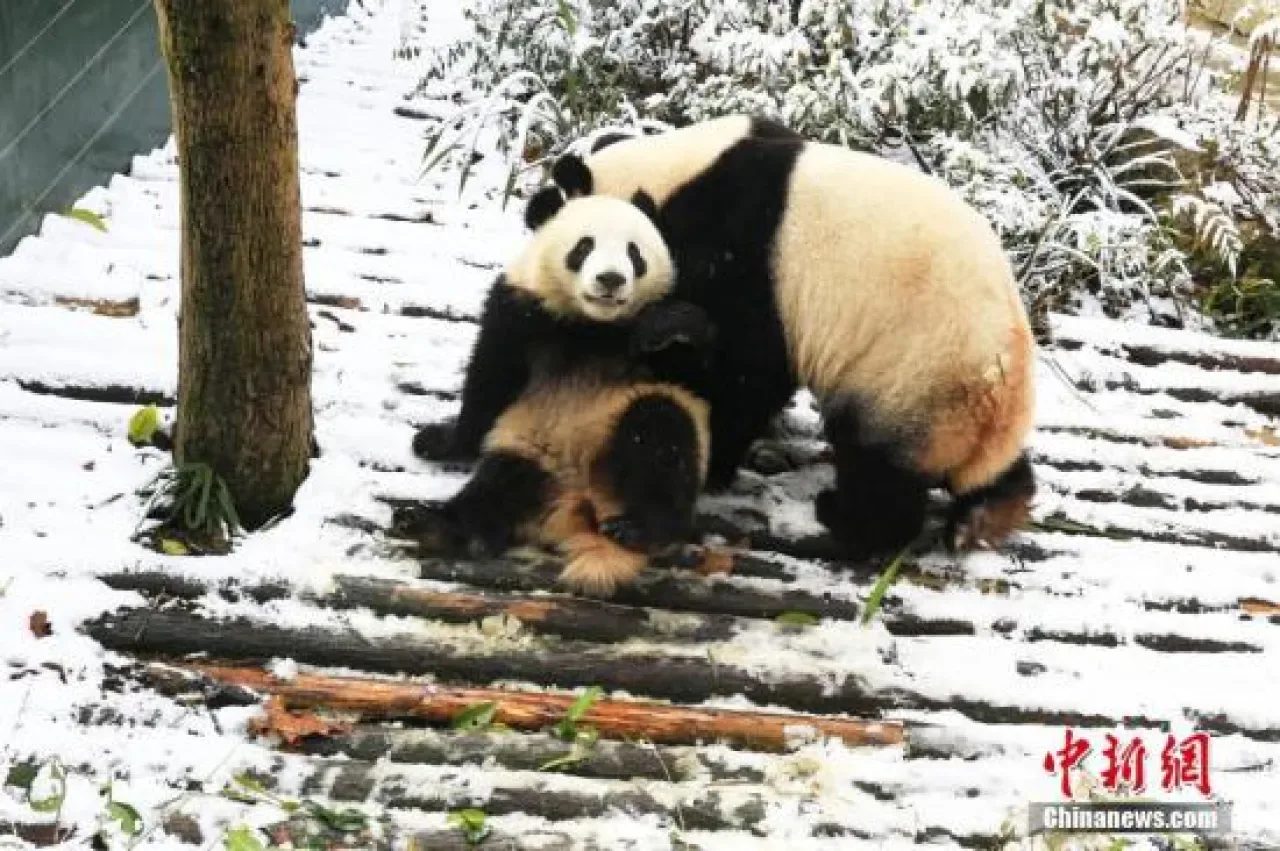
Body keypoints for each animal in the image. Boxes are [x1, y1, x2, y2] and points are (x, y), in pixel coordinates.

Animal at [410, 191, 727, 596]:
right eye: (584, 246)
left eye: (634, 253)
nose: (611, 279)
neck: (592, 326)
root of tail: (580, 498)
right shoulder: (519, 310)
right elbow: (489, 381)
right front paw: (440, 440)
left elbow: (701, 377)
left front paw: (669, 325)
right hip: (531, 449)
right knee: (498, 486)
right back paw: (435, 526)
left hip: (628, 427)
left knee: (659, 432)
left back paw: (639, 529)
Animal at [540, 114, 1038, 557]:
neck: (669, 175)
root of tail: (1000, 387)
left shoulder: (742, 245)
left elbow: (744, 370)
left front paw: (715, 457)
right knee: (990, 473)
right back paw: (989, 513)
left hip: (912, 373)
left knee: (876, 464)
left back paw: (847, 518)